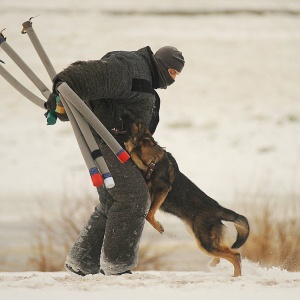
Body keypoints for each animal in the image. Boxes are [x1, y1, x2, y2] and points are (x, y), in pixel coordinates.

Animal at [123, 117, 250, 276]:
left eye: (137, 125)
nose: (124, 116)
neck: (152, 161)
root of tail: (218, 209)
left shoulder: (163, 189)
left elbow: (149, 214)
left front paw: (159, 227)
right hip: (204, 238)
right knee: (227, 251)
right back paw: (216, 263)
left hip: (204, 242)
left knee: (235, 255)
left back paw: (236, 276)